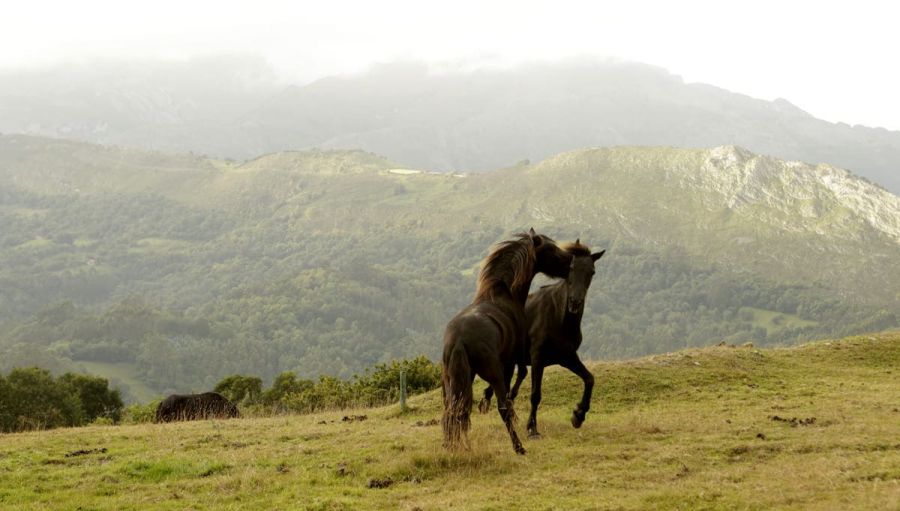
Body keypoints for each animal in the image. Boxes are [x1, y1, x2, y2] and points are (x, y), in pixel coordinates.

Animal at [441, 228, 573, 454]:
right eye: (550, 248)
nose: (570, 261)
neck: (504, 296)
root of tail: (458, 340)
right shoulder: (513, 357)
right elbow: (520, 376)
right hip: (492, 371)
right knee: (501, 407)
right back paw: (518, 447)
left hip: (453, 381)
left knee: (452, 411)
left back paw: (452, 446)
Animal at [479, 240, 604, 438]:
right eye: (570, 268)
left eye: (592, 272)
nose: (575, 303)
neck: (559, 317)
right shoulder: (538, 358)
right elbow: (535, 394)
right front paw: (532, 428)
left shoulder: (567, 357)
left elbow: (589, 379)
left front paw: (578, 415)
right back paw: (488, 403)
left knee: (515, 378)